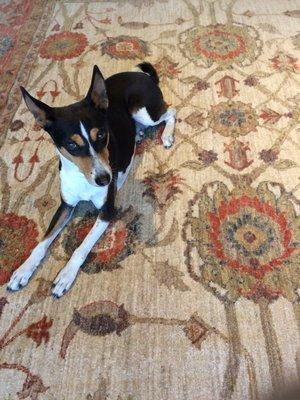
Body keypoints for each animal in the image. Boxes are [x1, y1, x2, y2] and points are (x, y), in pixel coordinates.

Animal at [7, 62, 176, 298]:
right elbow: (43, 242)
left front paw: (66, 275)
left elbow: (82, 246)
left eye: (102, 135)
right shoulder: (66, 206)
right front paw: (23, 270)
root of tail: (143, 76)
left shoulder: (107, 211)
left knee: (171, 112)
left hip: (143, 111)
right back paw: (138, 134)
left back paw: (166, 135)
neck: (82, 178)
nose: (105, 179)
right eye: (71, 145)